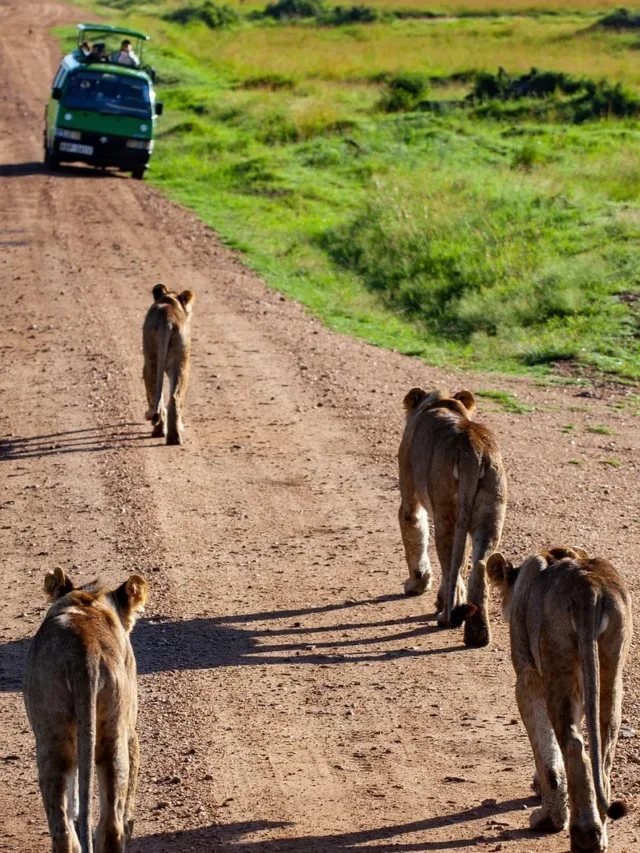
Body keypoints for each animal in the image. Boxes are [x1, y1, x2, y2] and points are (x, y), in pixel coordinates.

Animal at [23, 568, 148, 853]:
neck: (88, 600)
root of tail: (85, 654)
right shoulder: (131, 729)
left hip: (54, 734)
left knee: (67, 829)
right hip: (111, 730)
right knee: (108, 826)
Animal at [142, 282, 195, 445]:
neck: (170, 301)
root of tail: (167, 320)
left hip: (152, 359)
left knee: (155, 394)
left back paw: (158, 430)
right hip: (181, 361)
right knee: (175, 397)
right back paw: (173, 437)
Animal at [398, 388, 507, 647]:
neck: (441, 402)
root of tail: (472, 451)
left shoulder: (409, 493)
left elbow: (413, 529)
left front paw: (416, 585)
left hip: (446, 511)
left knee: (450, 567)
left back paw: (446, 616)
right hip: (490, 509)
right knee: (478, 566)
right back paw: (477, 634)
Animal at [487, 546, 632, 852]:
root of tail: (589, 588)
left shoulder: (527, 675)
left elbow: (545, 749)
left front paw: (549, 815)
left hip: (557, 659)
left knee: (574, 745)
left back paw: (584, 834)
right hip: (611, 663)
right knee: (604, 746)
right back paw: (600, 827)